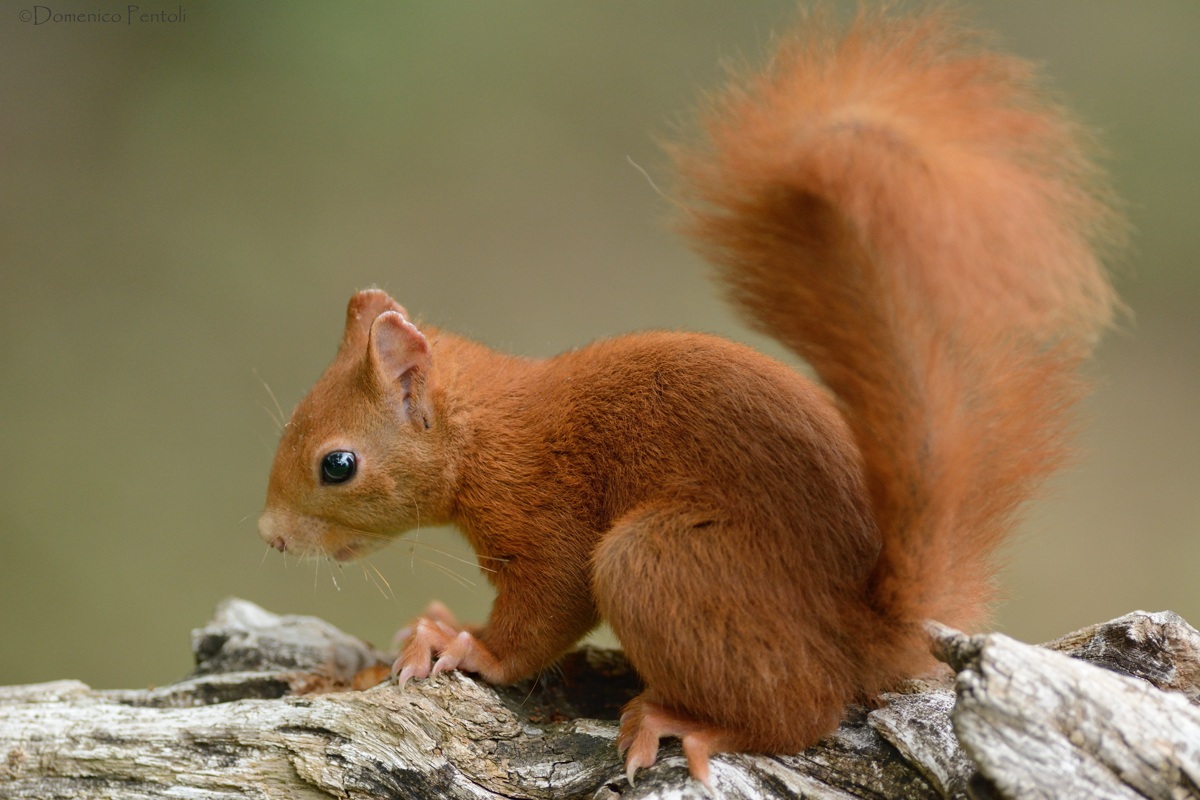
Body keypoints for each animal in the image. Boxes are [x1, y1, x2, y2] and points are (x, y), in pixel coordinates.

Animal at [258, 5, 1120, 788]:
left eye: (338, 464)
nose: (269, 535)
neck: (483, 427)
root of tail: (869, 631)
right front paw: (436, 625)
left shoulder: (542, 507)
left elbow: (546, 609)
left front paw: (464, 645)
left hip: (656, 561)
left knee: (803, 710)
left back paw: (687, 722)